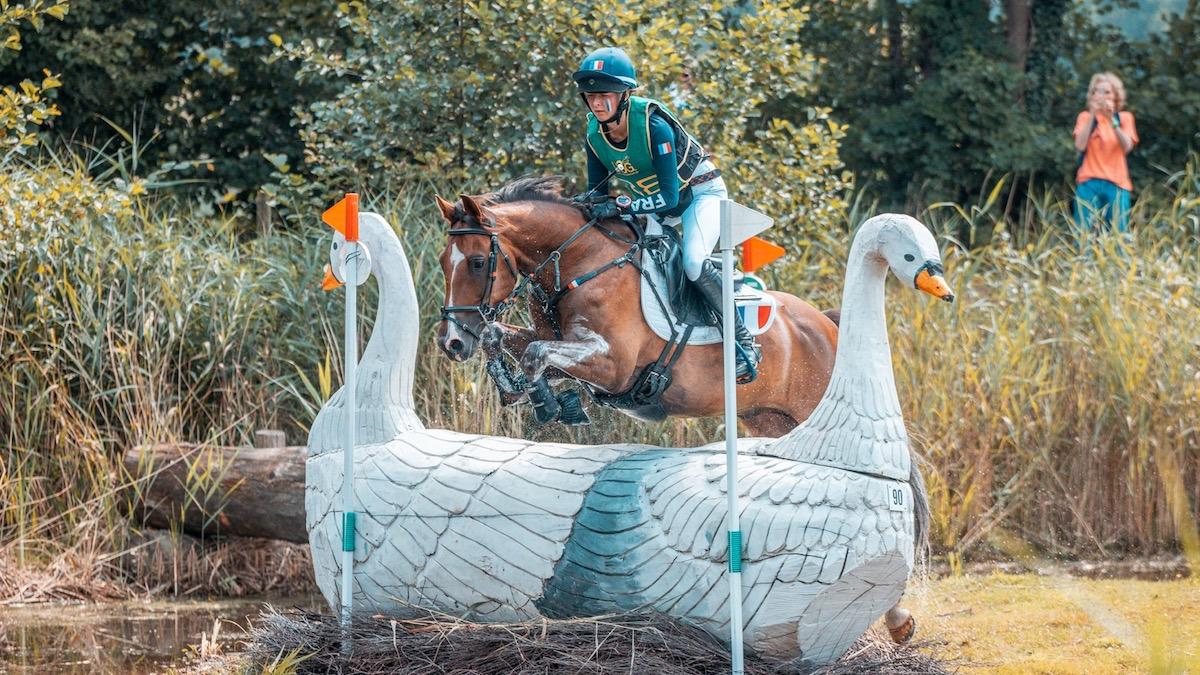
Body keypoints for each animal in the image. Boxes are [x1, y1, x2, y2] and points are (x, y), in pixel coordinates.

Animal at [436, 174, 840, 437]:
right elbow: (500, 336)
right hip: (768, 419)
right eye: (442, 261)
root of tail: (827, 324)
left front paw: (550, 406)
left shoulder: (614, 364)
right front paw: (519, 390)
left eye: (477, 263)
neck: (580, 261)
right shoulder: (563, 344)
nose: (451, 343)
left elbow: (536, 352)